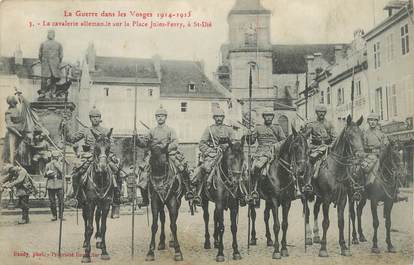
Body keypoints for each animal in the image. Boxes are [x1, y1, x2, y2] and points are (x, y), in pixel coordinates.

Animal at [80, 128, 115, 262]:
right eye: (96, 148)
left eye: (109, 148)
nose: (102, 168)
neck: (100, 179)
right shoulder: (90, 203)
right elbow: (89, 227)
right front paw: (86, 254)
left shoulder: (106, 204)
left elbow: (104, 227)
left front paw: (104, 251)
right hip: (84, 203)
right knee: (86, 220)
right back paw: (86, 241)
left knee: (97, 217)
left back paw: (98, 239)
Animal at [247, 126, 308, 258]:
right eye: (295, 146)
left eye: (307, 147)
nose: (301, 171)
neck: (281, 174)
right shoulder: (274, 200)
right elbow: (276, 225)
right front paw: (276, 251)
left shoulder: (286, 201)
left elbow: (284, 225)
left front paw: (284, 248)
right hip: (254, 199)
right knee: (253, 216)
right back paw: (253, 238)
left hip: (268, 200)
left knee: (265, 216)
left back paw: (269, 240)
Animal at [302, 115, 364, 256]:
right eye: (350, 136)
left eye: (361, 135)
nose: (361, 156)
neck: (337, 169)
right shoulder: (326, 199)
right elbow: (326, 222)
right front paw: (323, 249)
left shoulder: (343, 199)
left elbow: (341, 222)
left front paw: (344, 246)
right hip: (305, 195)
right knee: (307, 213)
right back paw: (308, 237)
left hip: (319, 197)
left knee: (315, 210)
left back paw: (316, 236)